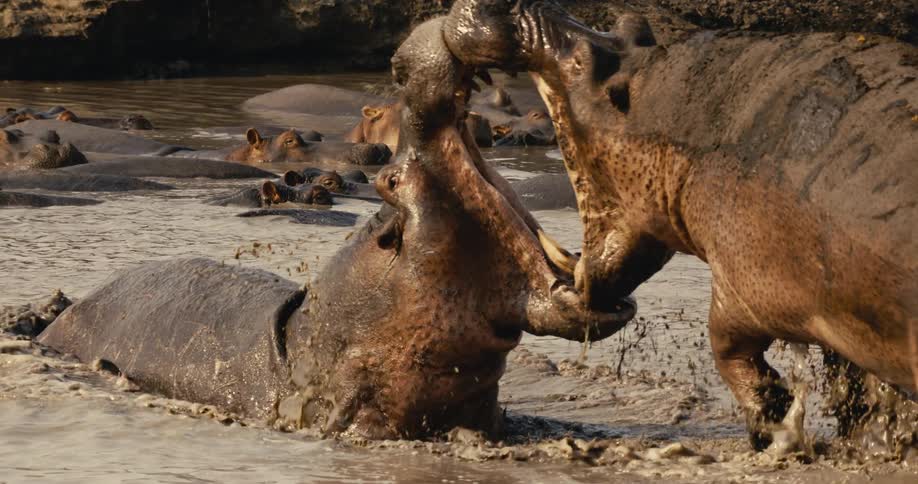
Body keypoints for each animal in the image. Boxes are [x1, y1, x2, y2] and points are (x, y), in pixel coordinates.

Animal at [442, 0, 918, 449]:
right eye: (633, 26)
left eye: (583, 61)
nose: (515, 3)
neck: (687, 121)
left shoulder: (744, 287)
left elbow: (727, 348)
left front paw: (772, 421)